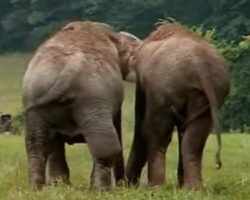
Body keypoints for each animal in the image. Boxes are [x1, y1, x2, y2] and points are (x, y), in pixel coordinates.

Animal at [22, 20, 141, 189]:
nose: (123, 184)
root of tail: (67, 68)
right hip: (93, 97)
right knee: (105, 146)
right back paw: (100, 190)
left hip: (35, 96)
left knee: (37, 145)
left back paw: (39, 188)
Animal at [126, 23, 229, 191]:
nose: (127, 183)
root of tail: (201, 65)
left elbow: (142, 124)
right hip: (208, 97)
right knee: (194, 138)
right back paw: (193, 189)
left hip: (164, 89)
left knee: (157, 133)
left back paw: (156, 187)